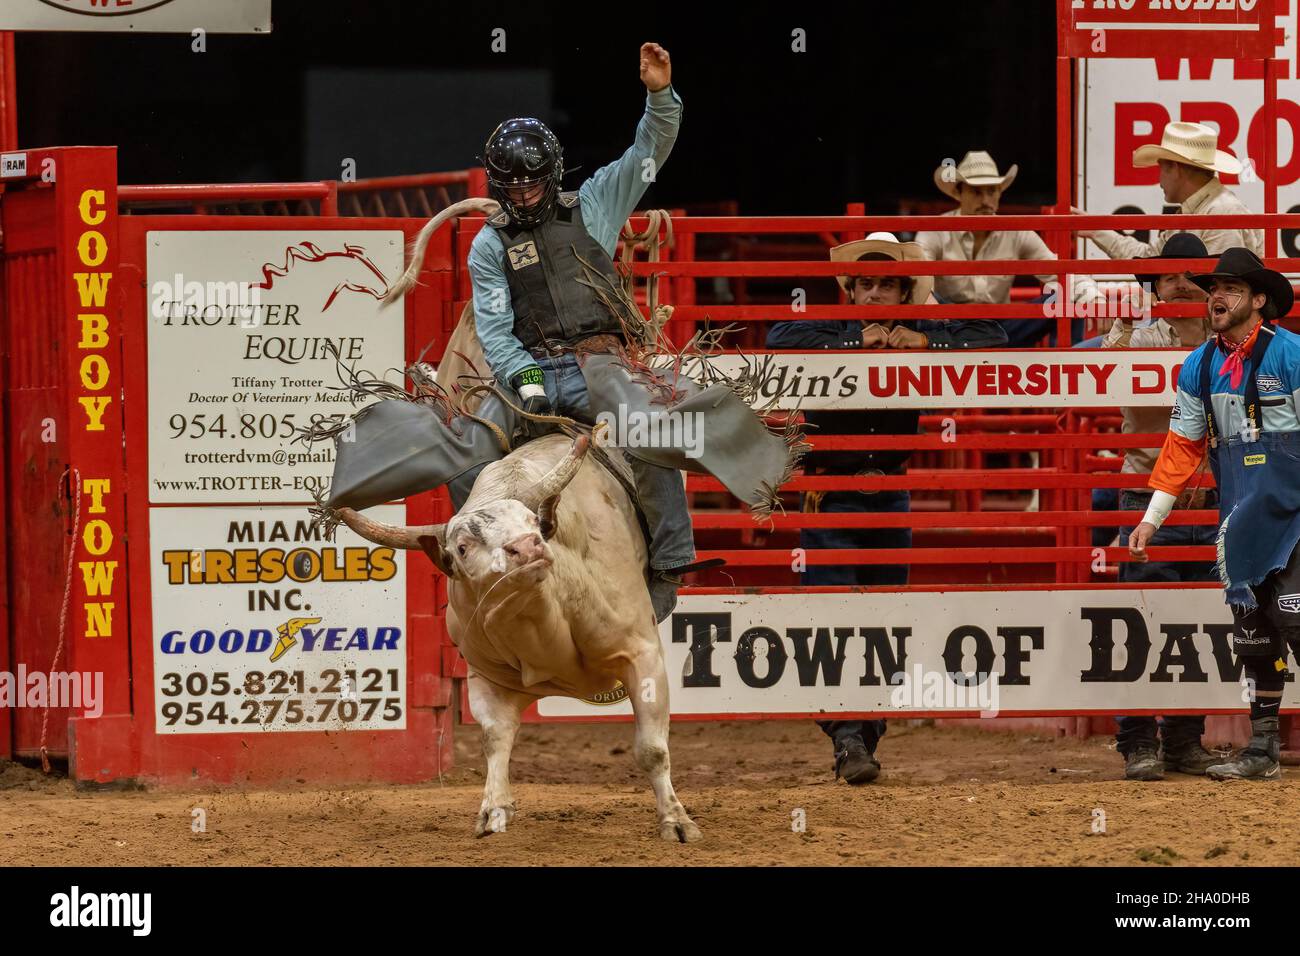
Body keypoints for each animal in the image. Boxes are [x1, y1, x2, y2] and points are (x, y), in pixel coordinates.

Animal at [335, 429, 702, 842]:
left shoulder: (642, 654)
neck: (539, 619)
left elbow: (652, 749)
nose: (528, 546)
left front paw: (676, 820)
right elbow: (495, 740)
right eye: (463, 547)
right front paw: (493, 810)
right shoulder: (486, 678)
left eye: (532, 521)